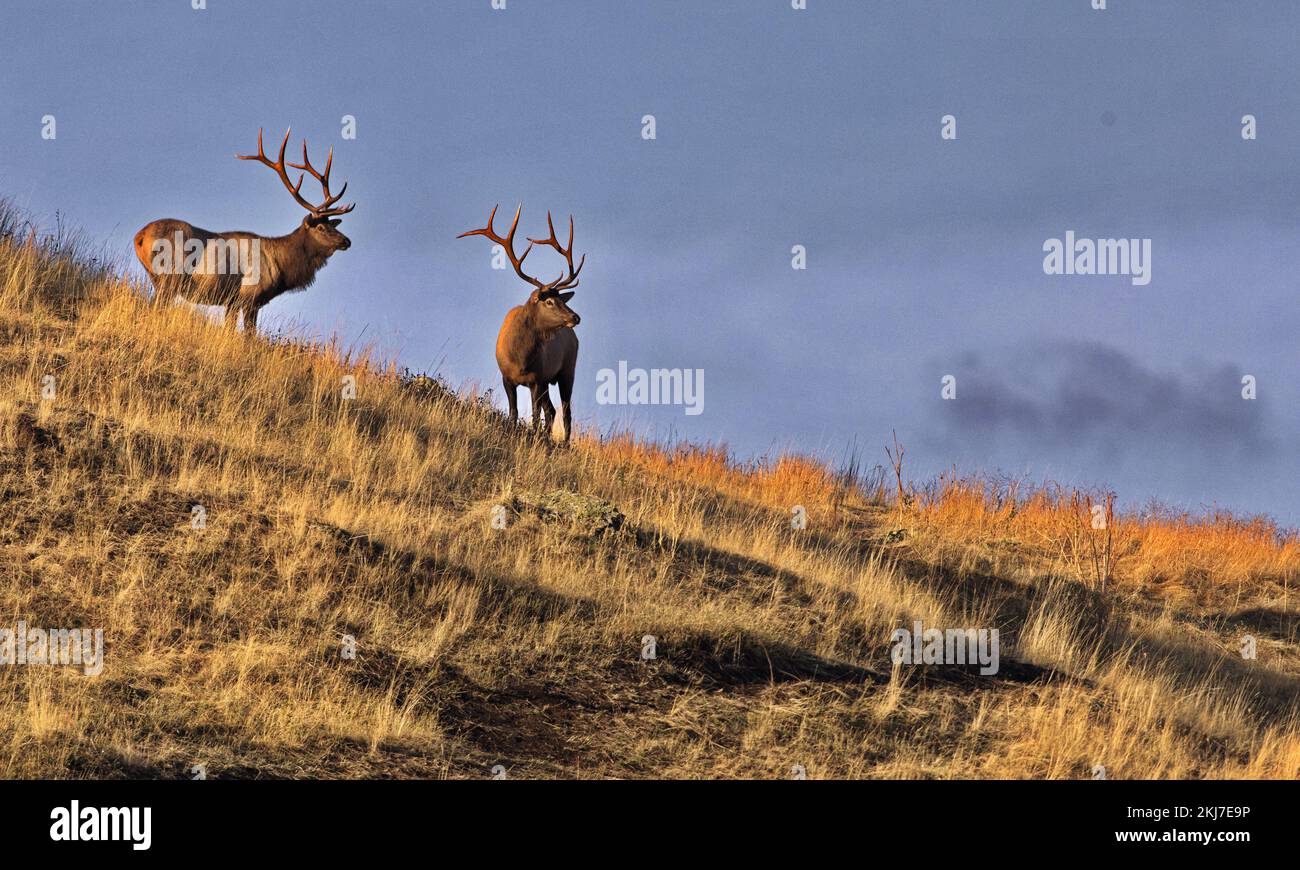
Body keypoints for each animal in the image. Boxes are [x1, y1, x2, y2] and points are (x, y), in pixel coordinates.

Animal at [133, 128, 354, 332]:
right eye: (321, 227)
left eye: (332, 225)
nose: (346, 241)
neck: (281, 267)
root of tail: (140, 237)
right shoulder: (249, 298)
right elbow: (249, 336)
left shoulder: (231, 302)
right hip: (169, 278)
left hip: (156, 278)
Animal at [459, 205, 584, 442]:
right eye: (549, 302)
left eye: (561, 300)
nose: (575, 317)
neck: (520, 358)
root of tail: (574, 337)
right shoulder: (507, 377)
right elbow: (514, 413)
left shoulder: (536, 379)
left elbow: (534, 417)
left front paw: (533, 437)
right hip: (549, 381)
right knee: (552, 410)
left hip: (567, 370)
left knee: (565, 412)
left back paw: (564, 443)